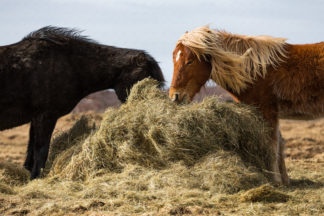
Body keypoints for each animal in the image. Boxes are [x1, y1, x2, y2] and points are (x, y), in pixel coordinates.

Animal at [0, 26, 165, 179]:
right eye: (147, 77)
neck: (69, 64)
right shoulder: (45, 116)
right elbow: (41, 151)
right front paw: (36, 178)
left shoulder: (36, 118)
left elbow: (31, 153)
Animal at [168, 26, 324, 185]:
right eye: (174, 60)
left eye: (189, 61)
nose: (175, 96)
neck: (256, 71)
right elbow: (280, 146)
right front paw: (285, 181)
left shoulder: (268, 112)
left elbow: (272, 146)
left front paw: (275, 180)